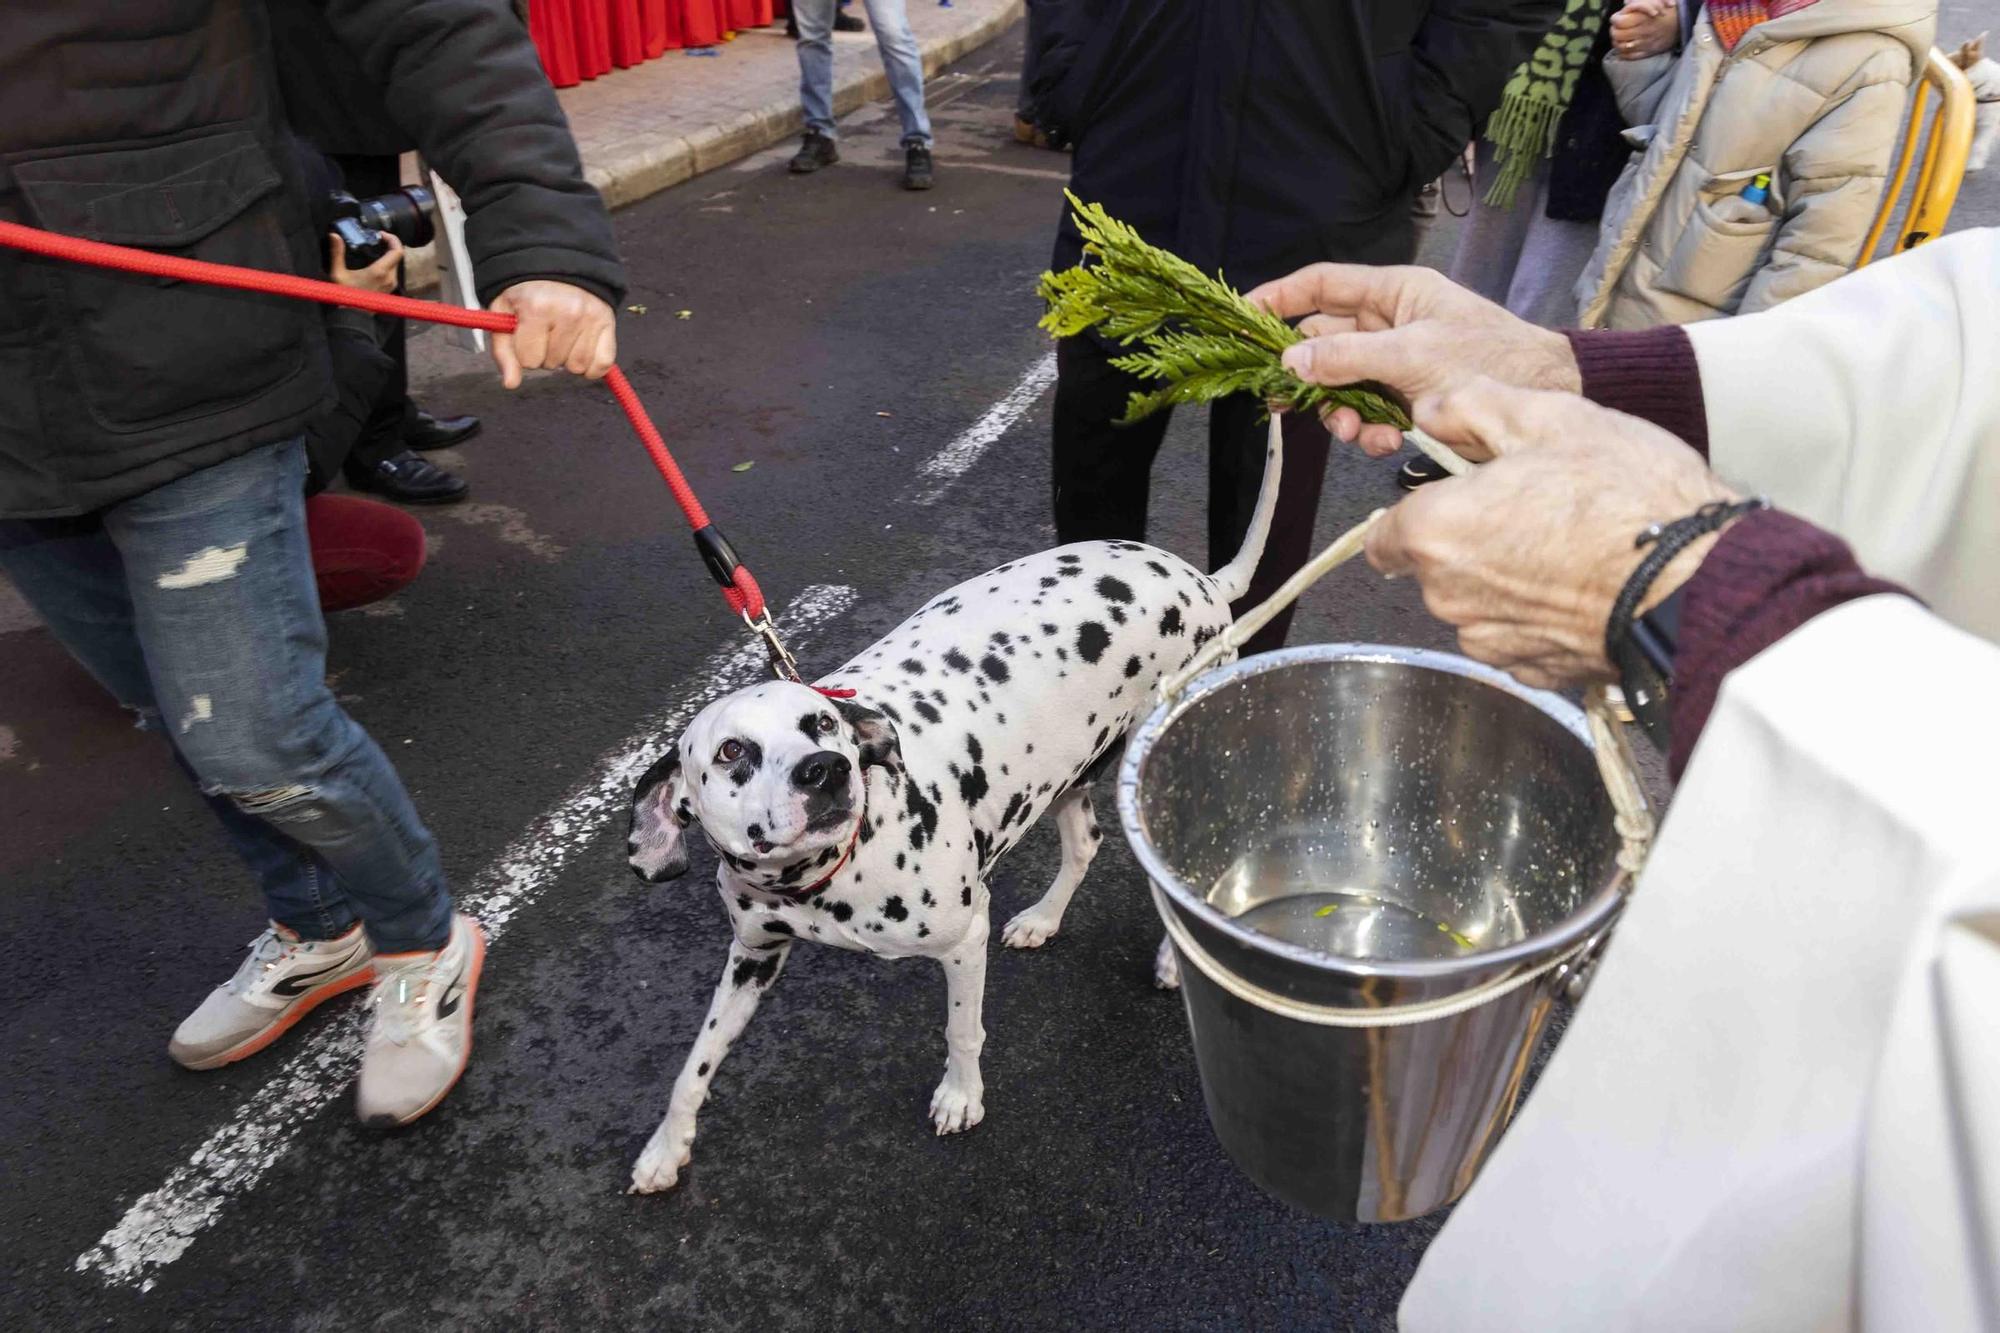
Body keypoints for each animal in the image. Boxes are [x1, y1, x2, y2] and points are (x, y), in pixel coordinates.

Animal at [620, 420, 1280, 1184]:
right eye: (731, 751)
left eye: (822, 723)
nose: (827, 770)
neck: (824, 876)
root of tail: (1200, 578)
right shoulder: (753, 954)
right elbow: (693, 1067)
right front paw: (667, 1147)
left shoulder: (964, 940)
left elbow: (962, 1028)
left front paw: (962, 1096)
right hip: (1066, 773)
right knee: (1085, 843)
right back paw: (1045, 918)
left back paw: (1176, 960)